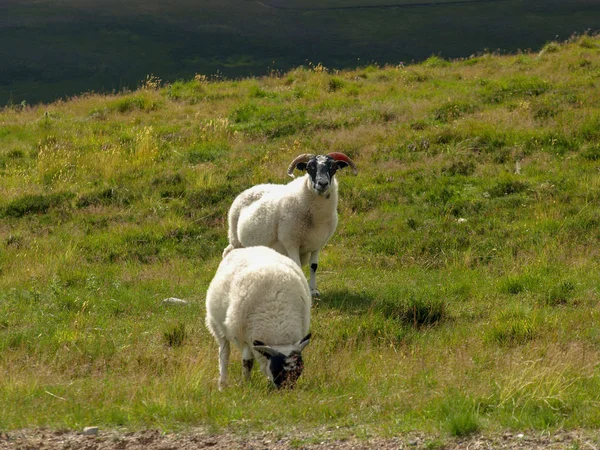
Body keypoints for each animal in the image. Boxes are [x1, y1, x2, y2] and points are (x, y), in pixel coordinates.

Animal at [205, 244, 312, 388]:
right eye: (276, 370)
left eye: (299, 371)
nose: (287, 391)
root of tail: (246, 248)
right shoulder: (245, 338)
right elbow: (247, 362)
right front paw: (246, 384)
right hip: (216, 326)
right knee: (224, 353)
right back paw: (222, 384)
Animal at [224, 152, 356, 298]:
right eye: (309, 168)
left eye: (333, 167)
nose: (322, 183)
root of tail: (249, 189)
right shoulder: (291, 242)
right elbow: (297, 265)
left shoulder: (318, 244)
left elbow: (314, 266)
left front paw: (313, 290)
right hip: (236, 238)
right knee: (228, 253)